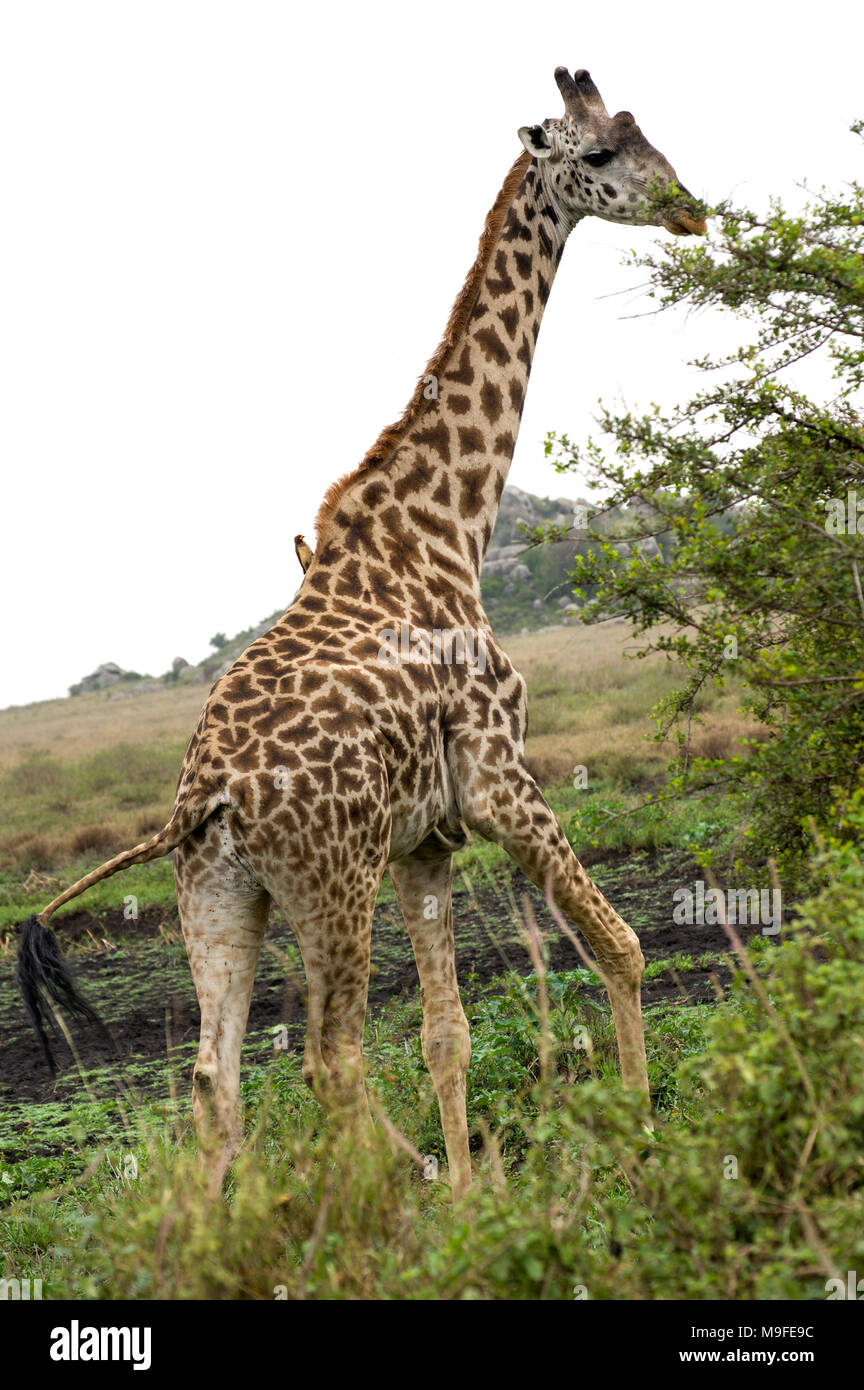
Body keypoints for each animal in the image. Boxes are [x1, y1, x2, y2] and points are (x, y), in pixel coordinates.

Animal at [16, 65, 708, 1195]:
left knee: (215, 1079)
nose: (690, 207)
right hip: (333, 879)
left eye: (645, 131)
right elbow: (621, 945)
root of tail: (204, 797)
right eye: (602, 153)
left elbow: (445, 1032)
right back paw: (400, 1187)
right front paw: (644, 1142)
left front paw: (474, 1190)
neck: (447, 524)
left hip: (218, 897)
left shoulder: (428, 836)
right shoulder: (501, 775)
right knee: (327, 1056)